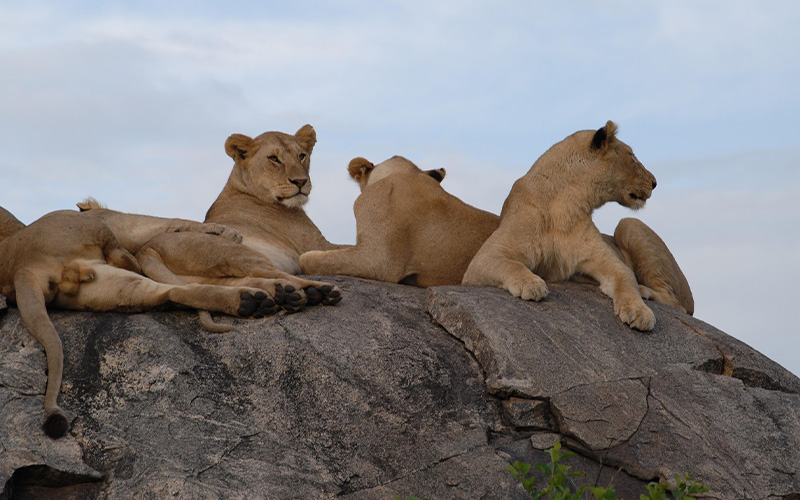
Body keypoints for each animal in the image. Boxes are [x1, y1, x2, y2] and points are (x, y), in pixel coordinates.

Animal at [0, 209, 281, 438]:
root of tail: (22, 268)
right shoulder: (125, 222)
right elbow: (172, 222)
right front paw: (226, 231)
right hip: (87, 229)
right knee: (131, 258)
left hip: (111, 287)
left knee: (172, 291)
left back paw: (251, 302)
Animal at [462, 121, 693, 331]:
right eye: (632, 156)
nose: (655, 182)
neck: (564, 203)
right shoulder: (484, 259)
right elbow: (512, 264)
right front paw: (531, 284)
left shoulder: (603, 258)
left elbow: (626, 276)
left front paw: (638, 311)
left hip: (629, 224)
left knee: (676, 303)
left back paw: (644, 291)